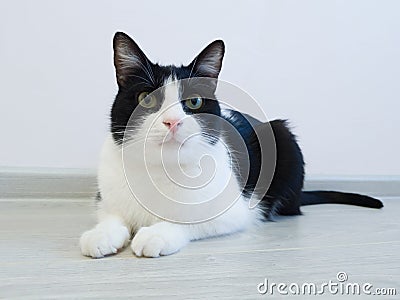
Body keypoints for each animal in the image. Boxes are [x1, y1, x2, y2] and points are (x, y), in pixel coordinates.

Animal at [79, 32, 382, 258]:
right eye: (146, 98)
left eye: (194, 102)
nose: (172, 122)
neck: (160, 169)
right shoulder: (106, 199)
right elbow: (111, 217)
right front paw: (101, 234)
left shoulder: (236, 211)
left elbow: (192, 219)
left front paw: (156, 233)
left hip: (283, 137)